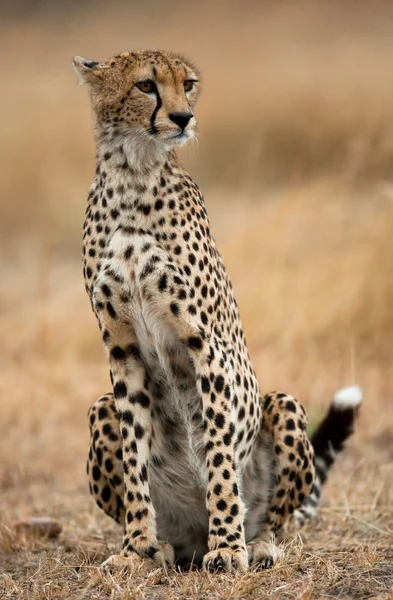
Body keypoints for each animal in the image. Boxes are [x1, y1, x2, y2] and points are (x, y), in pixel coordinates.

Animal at [72, 50, 360, 572]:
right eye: (145, 85)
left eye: (187, 84)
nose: (184, 117)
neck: (133, 171)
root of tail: (192, 534)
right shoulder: (120, 348)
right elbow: (134, 459)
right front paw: (134, 550)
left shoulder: (205, 343)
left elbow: (220, 452)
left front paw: (227, 547)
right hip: (99, 409)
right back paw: (163, 547)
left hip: (282, 404)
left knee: (276, 517)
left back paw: (255, 543)